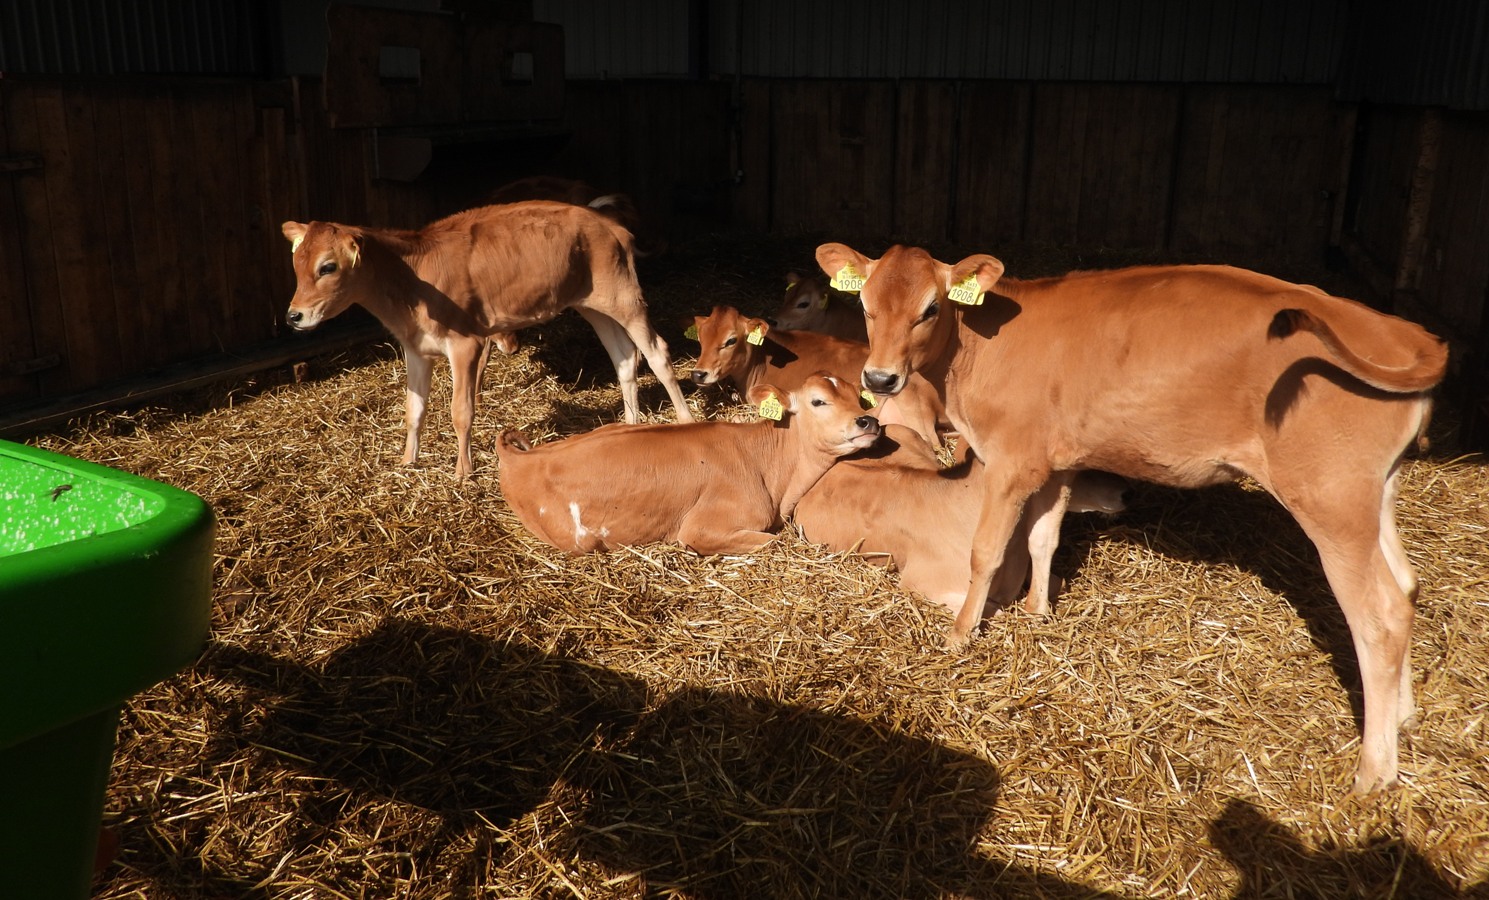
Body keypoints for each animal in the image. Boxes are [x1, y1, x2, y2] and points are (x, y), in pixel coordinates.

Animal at [281, 201, 694, 478]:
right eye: (296, 265)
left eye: (328, 267)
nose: (293, 316)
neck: (409, 280)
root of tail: (611, 225)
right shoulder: (416, 348)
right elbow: (414, 410)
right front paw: (407, 462)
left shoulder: (466, 344)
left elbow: (461, 411)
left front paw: (463, 471)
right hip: (593, 304)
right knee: (623, 357)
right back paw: (629, 425)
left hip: (624, 295)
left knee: (657, 353)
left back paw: (686, 420)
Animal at [495, 372, 881, 555]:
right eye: (818, 401)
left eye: (859, 397)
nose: (868, 421)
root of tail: (520, 456)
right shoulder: (701, 529)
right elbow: (772, 541)